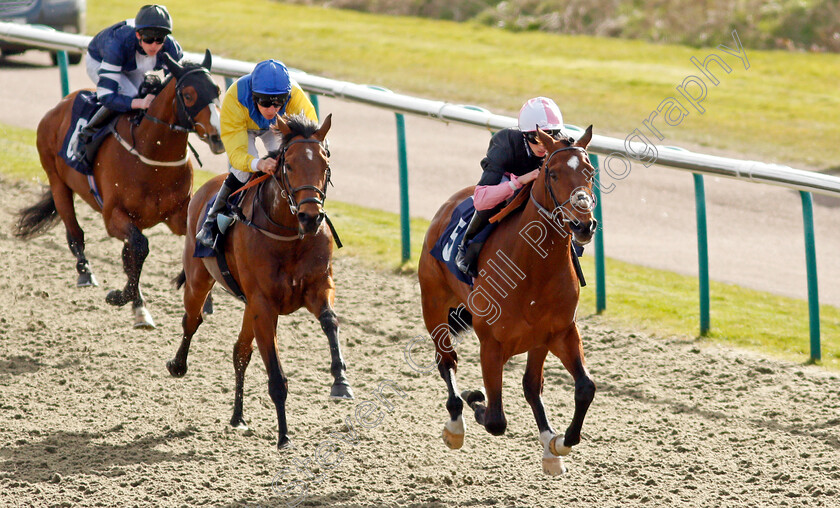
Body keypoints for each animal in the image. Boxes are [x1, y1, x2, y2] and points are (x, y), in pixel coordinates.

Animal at [14, 50, 223, 330]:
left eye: (217, 90)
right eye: (188, 95)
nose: (217, 137)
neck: (153, 155)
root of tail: (59, 106)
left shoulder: (178, 215)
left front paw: (203, 298)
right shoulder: (113, 216)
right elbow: (140, 246)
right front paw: (122, 298)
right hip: (57, 181)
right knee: (75, 233)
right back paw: (87, 274)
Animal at [166, 114, 352, 448]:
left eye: (325, 163)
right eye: (288, 165)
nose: (311, 217)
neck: (289, 235)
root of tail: (207, 186)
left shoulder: (317, 287)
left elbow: (330, 321)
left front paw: (340, 381)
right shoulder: (264, 305)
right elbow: (276, 375)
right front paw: (283, 435)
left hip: (248, 305)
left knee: (240, 351)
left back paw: (237, 416)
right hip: (200, 277)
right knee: (192, 318)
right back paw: (178, 365)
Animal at [418, 127, 596, 476]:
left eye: (590, 172)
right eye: (553, 173)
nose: (584, 224)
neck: (533, 267)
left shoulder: (560, 332)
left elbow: (584, 387)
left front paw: (560, 442)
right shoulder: (492, 342)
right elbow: (496, 420)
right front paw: (475, 399)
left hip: (537, 342)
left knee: (531, 385)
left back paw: (549, 444)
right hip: (433, 304)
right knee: (447, 361)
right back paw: (456, 423)